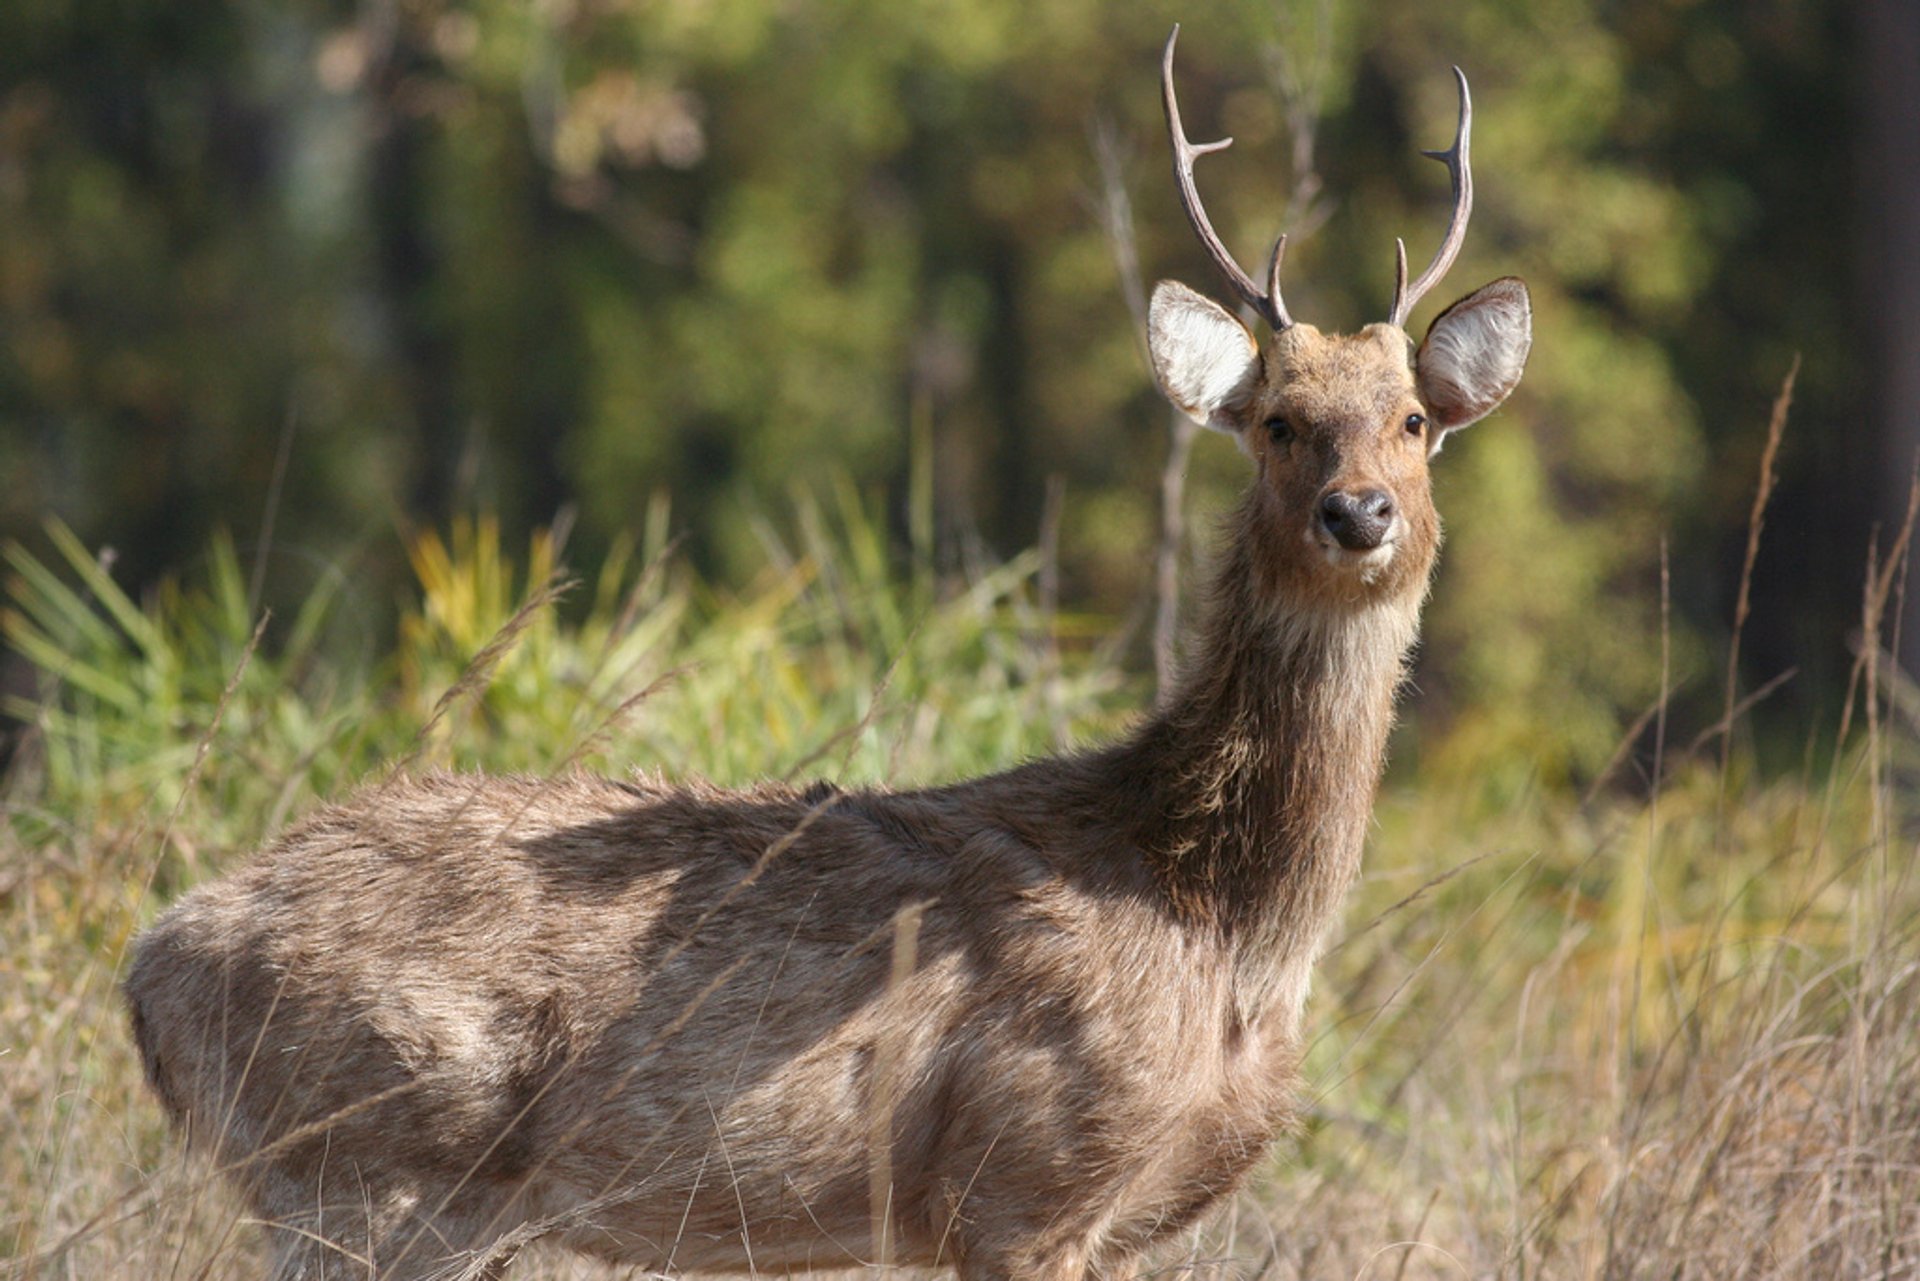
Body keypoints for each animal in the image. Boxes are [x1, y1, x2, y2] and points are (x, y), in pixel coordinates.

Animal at [120, 27, 1528, 1281]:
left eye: (1414, 420)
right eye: (1280, 422)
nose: (1360, 513)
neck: (1220, 929)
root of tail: (153, 961)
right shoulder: (1021, 1181)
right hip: (369, 1174)